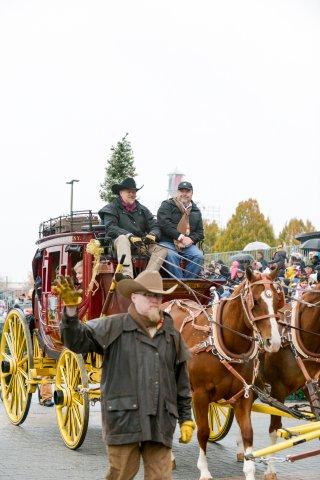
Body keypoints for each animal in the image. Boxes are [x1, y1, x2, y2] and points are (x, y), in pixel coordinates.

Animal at [164, 270, 284, 480]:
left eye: (277, 300)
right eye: (255, 302)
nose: (274, 342)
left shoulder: (243, 395)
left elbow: (247, 432)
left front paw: (249, 470)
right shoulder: (200, 394)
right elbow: (203, 431)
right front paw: (204, 470)